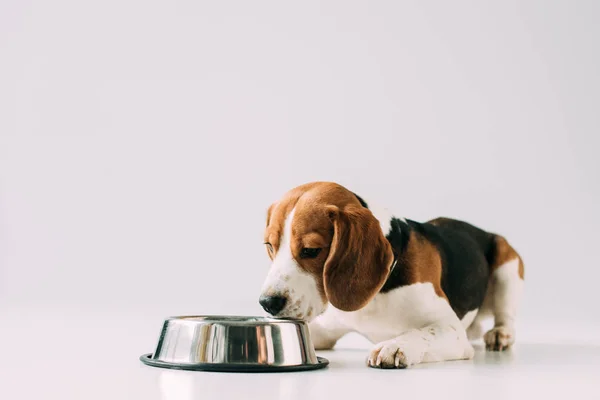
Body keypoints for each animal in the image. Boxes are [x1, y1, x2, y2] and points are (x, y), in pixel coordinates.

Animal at [260, 181, 524, 368]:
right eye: (270, 246)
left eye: (311, 250)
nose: (267, 303)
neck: (376, 296)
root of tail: (483, 231)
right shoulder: (326, 331)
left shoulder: (450, 330)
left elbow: (421, 333)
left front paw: (396, 346)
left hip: (507, 266)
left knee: (506, 316)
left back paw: (500, 334)